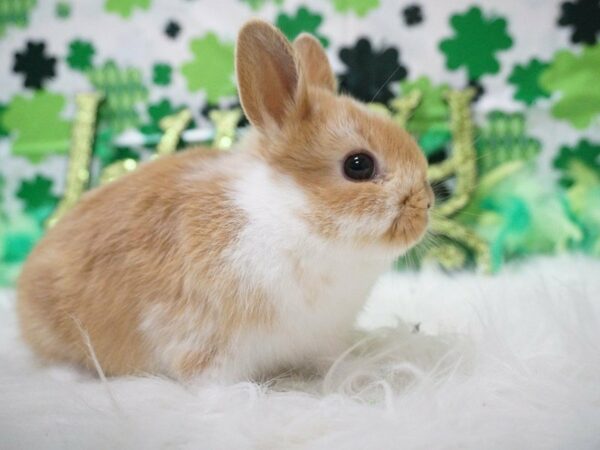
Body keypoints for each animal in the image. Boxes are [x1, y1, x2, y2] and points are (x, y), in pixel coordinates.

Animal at [16, 19, 434, 382]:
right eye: (358, 165)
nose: (427, 204)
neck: (291, 216)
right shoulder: (205, 344)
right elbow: (214, 383)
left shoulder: (323, 340)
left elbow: (334, 365)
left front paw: (365, 374)